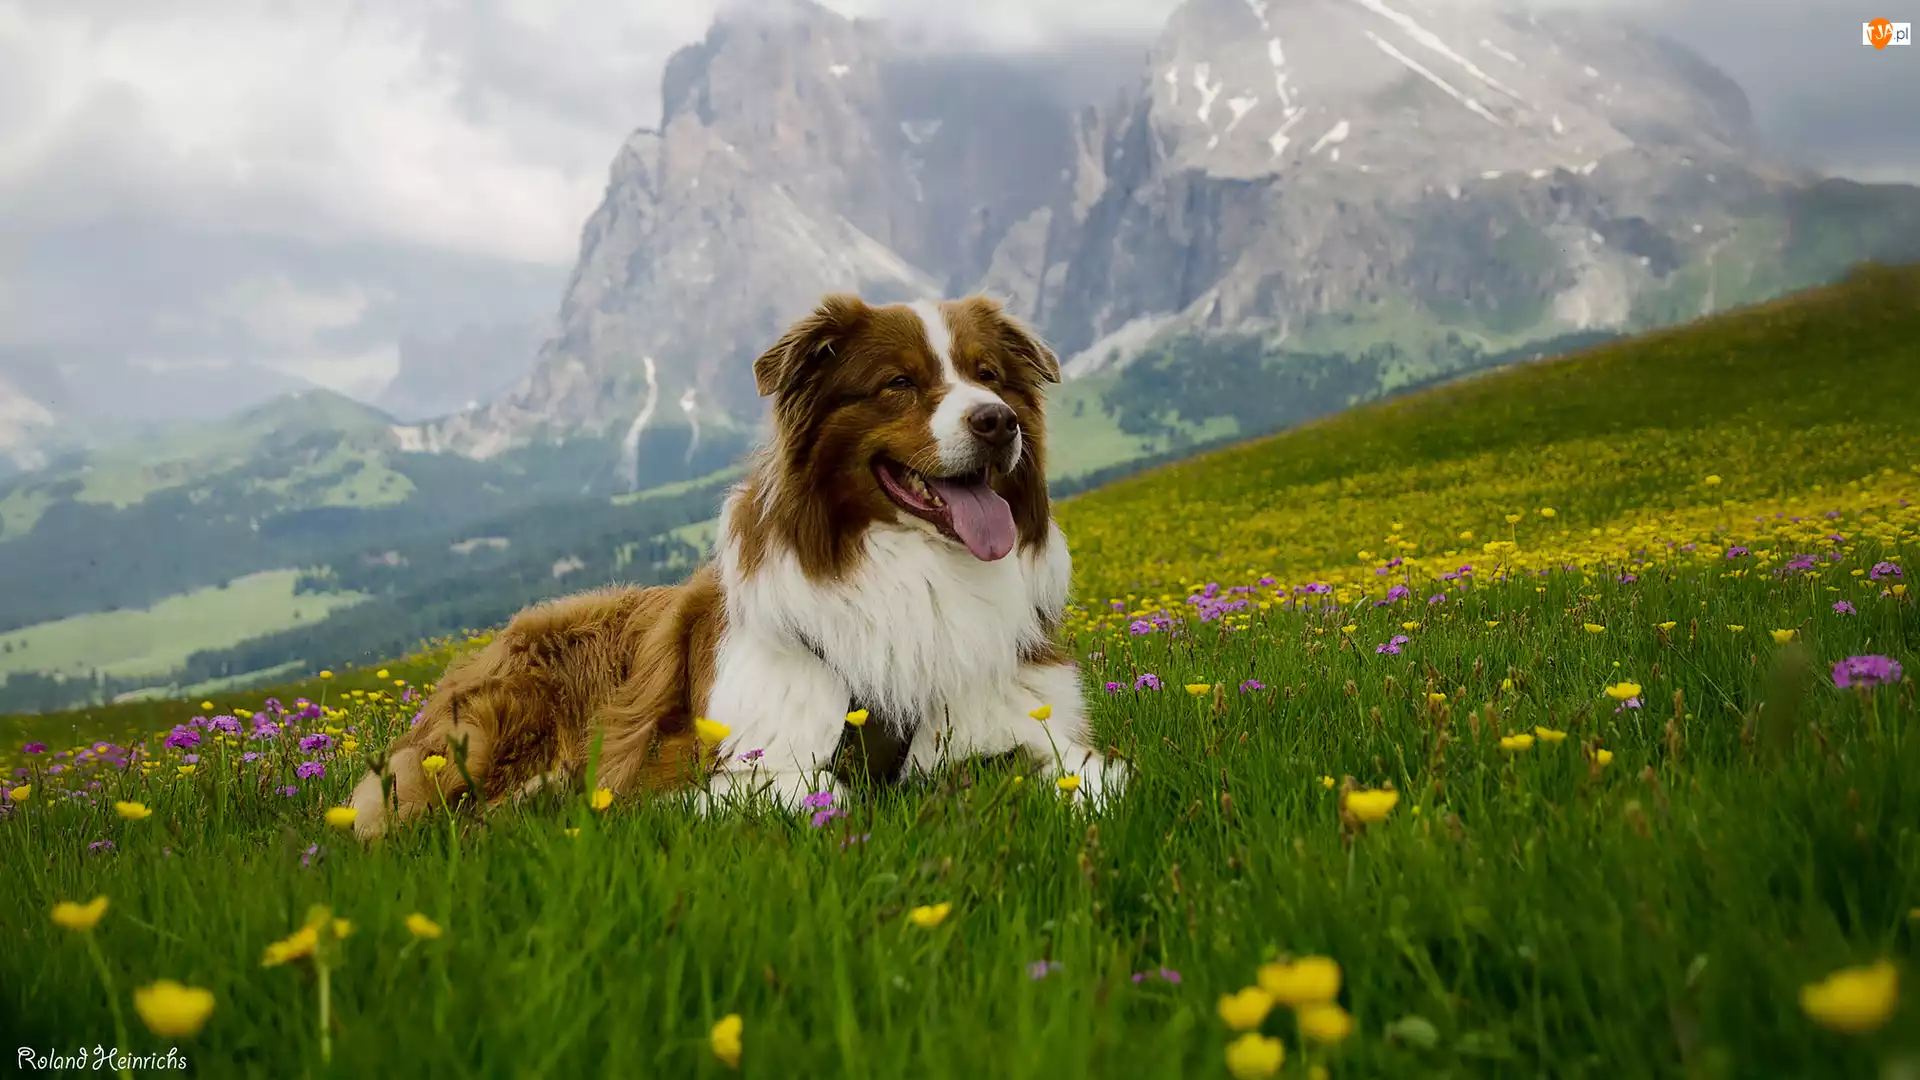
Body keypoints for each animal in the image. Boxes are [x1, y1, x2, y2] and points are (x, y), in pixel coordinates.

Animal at [351, 292, 1121, 834]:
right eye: (899, 383)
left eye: (989, 376)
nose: (998, 421)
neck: (916, 572)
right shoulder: (687, 767)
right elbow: (823, 789)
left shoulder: (1025, 714)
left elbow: (1080, 773)